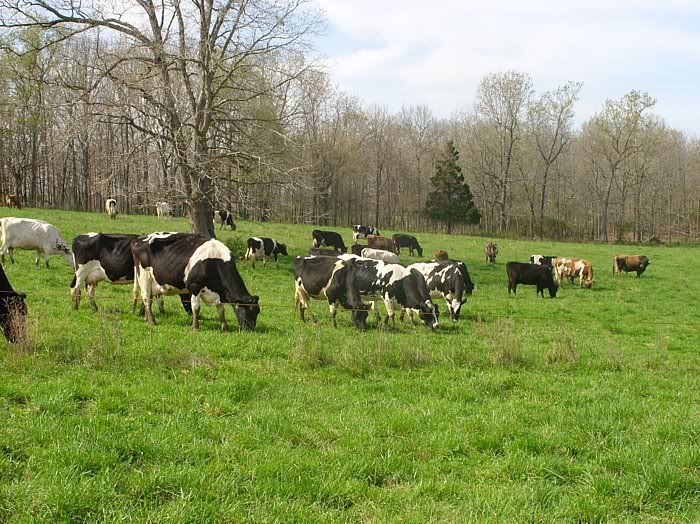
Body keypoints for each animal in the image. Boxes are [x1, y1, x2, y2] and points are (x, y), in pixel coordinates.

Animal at [131, 233, 260, 331]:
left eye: (257, 312)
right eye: (249, 311)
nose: (250, 329)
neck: (215, 260)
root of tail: (139, 239)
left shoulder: (218, 292)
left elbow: (221, 309)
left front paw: (225, 327)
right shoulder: (195, 286)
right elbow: (196, 308)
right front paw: (195, 327)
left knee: (149, 299)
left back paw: (146, 318)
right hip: (145, 278)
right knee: (146, 299)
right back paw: (152, 321)